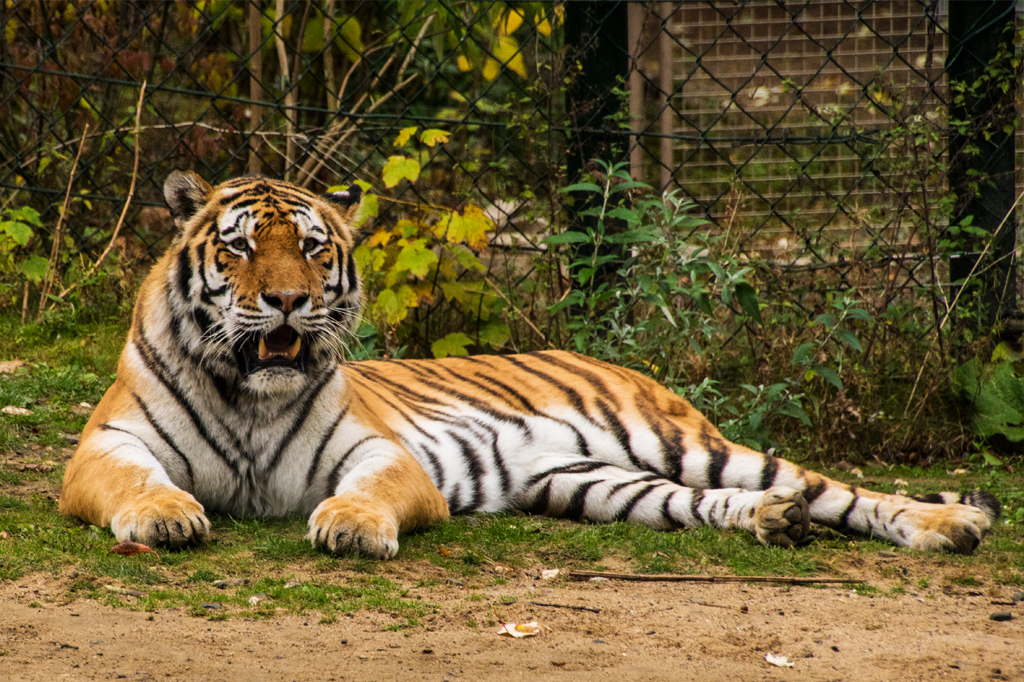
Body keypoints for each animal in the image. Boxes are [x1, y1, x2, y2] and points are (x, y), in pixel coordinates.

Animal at [59, 171, 999, 559]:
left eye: (316, 250)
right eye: (243, 248)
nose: (290, 301)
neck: (251, 395)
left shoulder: (381, 452)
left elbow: (368, 492)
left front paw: (352, 527)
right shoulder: (103, 449)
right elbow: (137, 482)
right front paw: (166, 517)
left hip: (689, 445)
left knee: (845, 492)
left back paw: (947, 525)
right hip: (597, 484)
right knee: (715, 504)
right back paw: (772, 522)